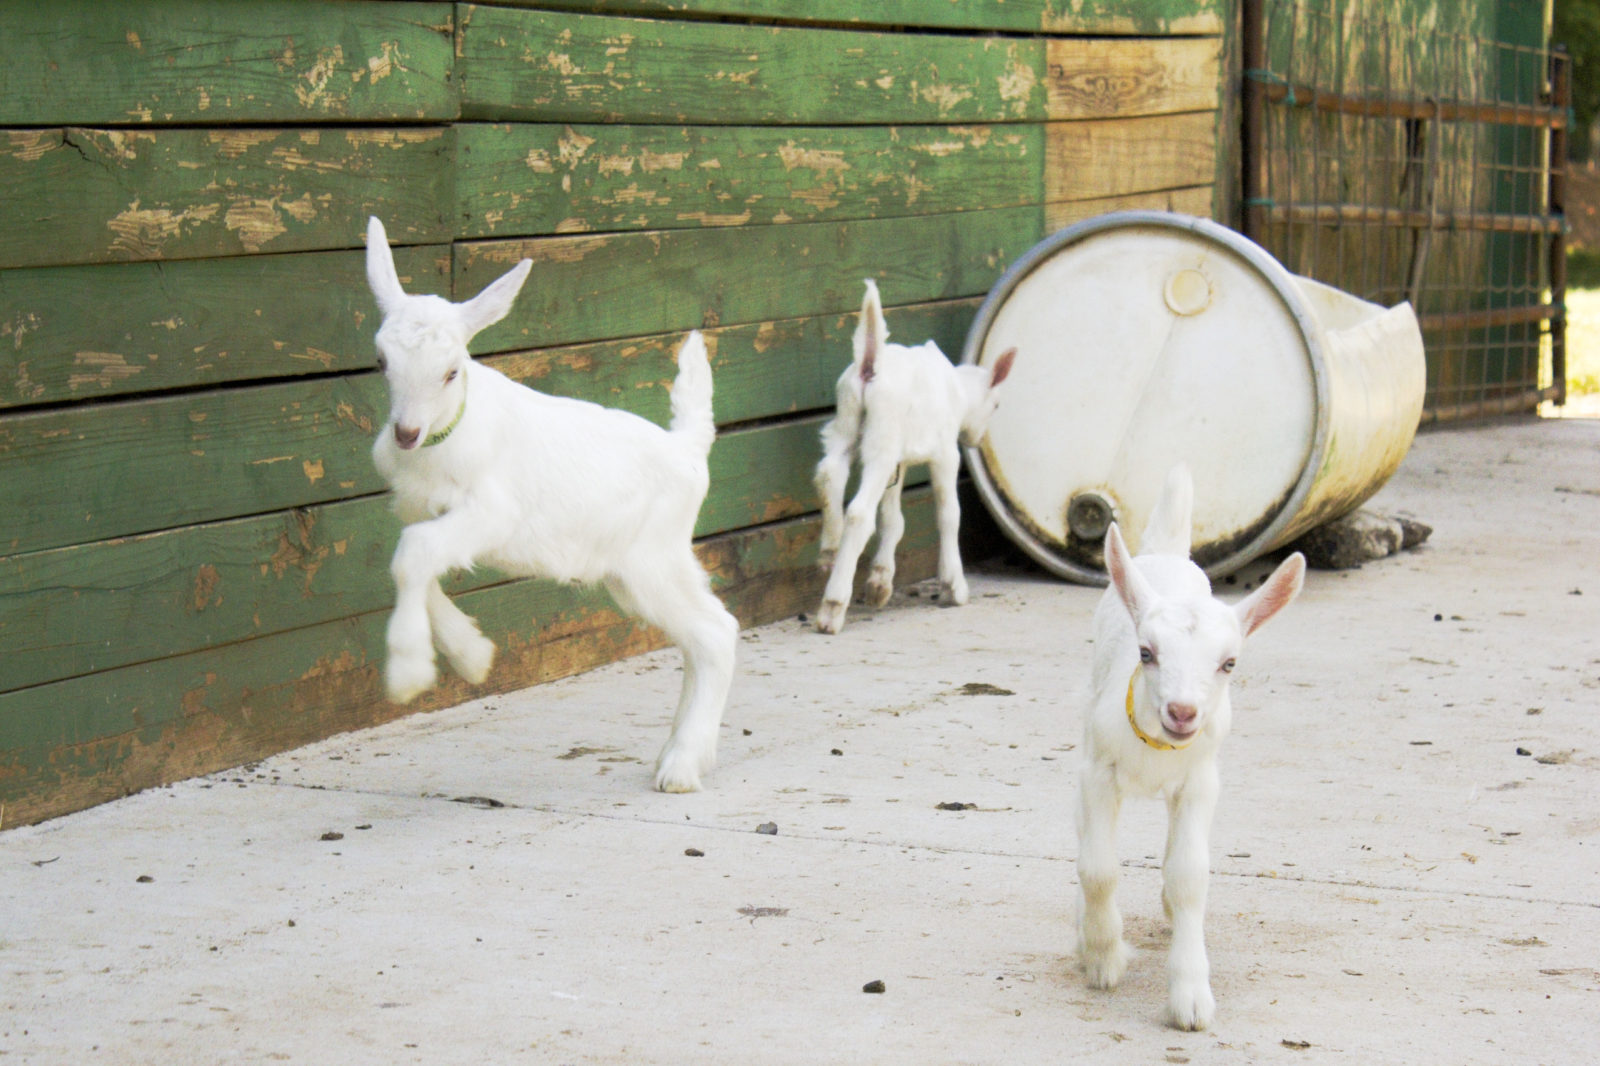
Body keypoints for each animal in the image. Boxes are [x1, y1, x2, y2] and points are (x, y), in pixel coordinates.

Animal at [364, 216, 738, 793]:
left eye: (452, 371)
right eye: (381, 362)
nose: (405, 433)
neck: (446, 436)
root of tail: (687, 447)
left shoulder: (490, 513)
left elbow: (413, 554)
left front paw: (409, 670)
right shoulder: (423, 510)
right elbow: (415, 567)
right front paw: (472, 655)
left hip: (654, 561)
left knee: (718, 634)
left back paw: (679, 768)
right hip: (633, 575)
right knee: (698, 641)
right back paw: (682, 754)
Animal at [812, 279, 1015, 634]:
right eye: (996, 405)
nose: (975, 439)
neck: (958, 390)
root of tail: (871, 361)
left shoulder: (901, 461)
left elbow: (893, 518)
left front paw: (880, 584)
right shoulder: (945, 453)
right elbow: (949, 514)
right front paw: (954, 587)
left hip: (847, 420)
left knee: (829, 472)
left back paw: (829, 551)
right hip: (881, 437)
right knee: (859, 512)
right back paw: (832, 607)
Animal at [1076, 465, 1305, 1030]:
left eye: (1229, 663)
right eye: (1146, 653)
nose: (1182, 713)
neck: (1153, 749)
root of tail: (1167, 554)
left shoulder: (1200, 783)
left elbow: (1188, 876)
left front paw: (1191, 995)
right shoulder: (1097, 770)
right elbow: (1098, 867)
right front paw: (1104, 957)